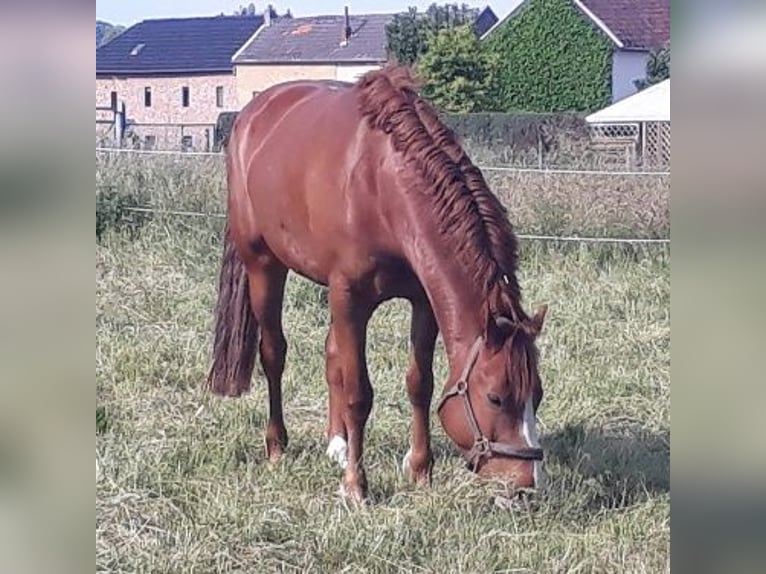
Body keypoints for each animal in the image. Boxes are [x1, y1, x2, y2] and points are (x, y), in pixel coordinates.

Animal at [207, 64, 548, 504]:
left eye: (537, 395)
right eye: (495, 397)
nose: (525, 485)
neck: (381, 182)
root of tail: (252, 115)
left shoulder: (422, 301)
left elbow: (420, 382)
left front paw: (419, 469)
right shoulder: (350, 298)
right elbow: (359, 393)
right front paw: (356, 486)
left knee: (332, 353)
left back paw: (336, 443)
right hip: (264, 266)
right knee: (274, 354)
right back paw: (278, 445)